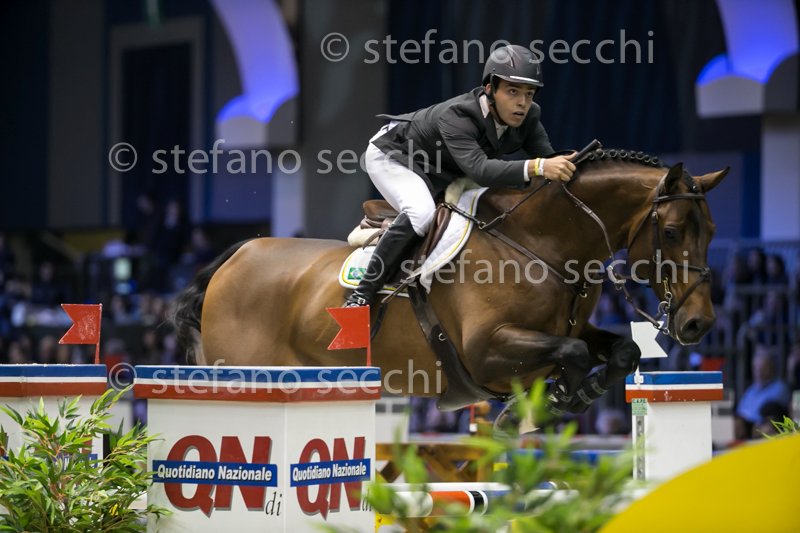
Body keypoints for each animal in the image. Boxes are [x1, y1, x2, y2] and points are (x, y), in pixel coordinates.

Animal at [170, 150, 728, 414]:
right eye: (672, 231)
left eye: (713, 231)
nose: (699, 324)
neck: (538, 244)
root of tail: (238, 254)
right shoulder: (486, 350)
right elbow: (569, 354)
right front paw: (551, 401)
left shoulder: (569, 329)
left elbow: (621, 352)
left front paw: (578, 395)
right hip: (243, 370)